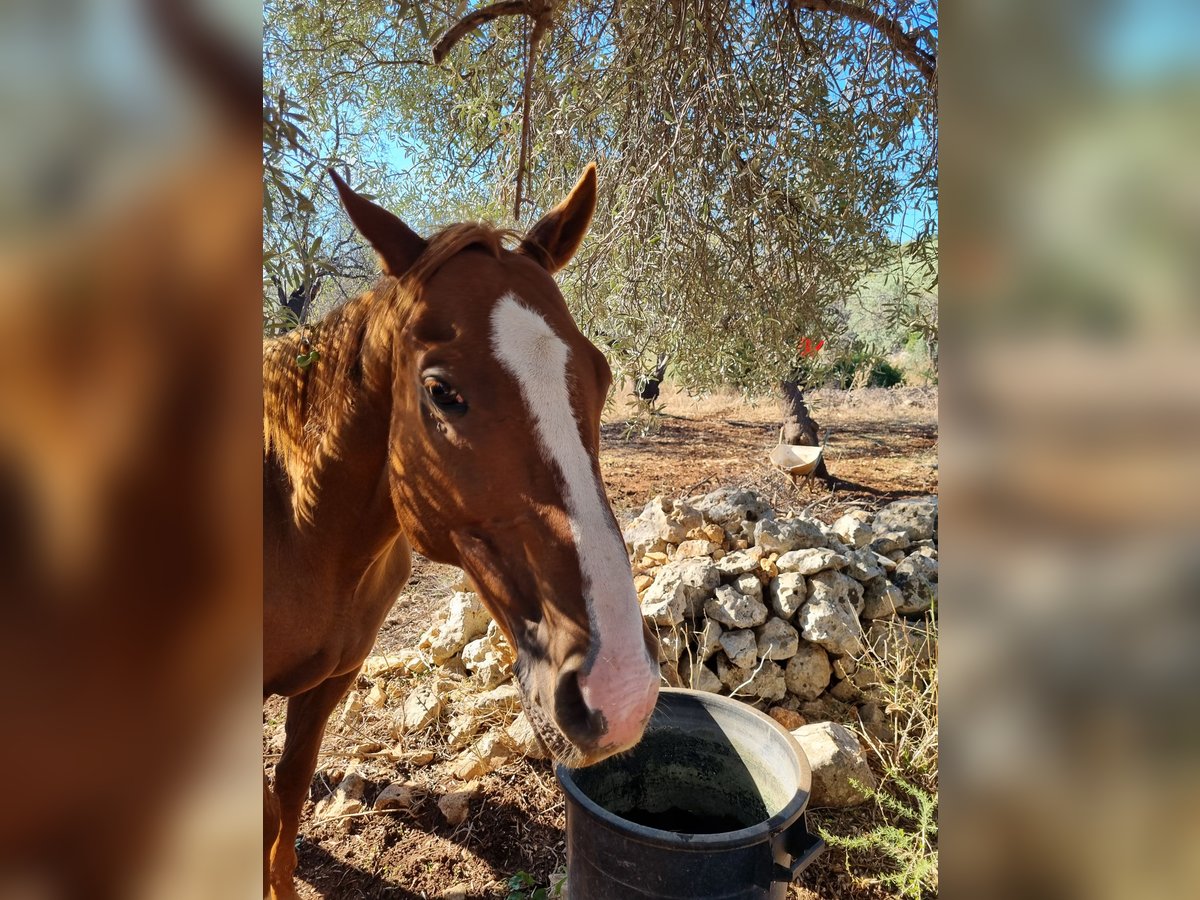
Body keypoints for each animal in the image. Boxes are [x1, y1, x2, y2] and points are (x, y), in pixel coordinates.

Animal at [263, 164, 660, 898]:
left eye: (601, 374)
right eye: (441, 390)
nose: (620, 692)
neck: (301, 527)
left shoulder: (331, 682)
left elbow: (289, 791)